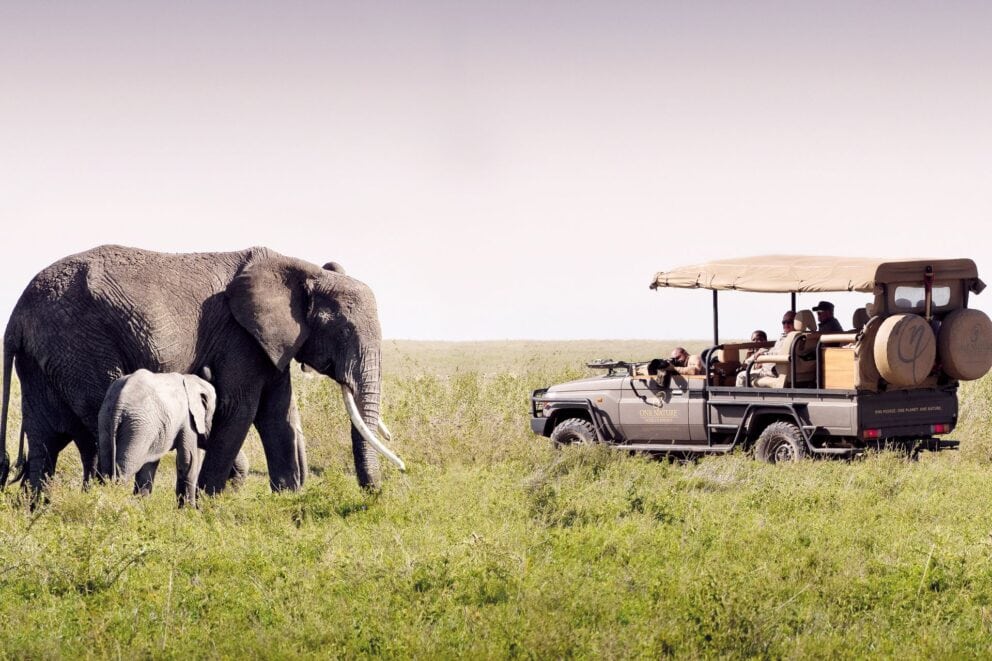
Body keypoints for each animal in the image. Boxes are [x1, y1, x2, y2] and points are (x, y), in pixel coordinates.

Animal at [98, 369, 216, 506]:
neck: (192, 380)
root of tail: (119, 403)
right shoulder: (188, 420)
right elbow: (187, 461)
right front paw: (189, 510)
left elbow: (149, 465)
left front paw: (142, 506)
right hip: (138, 427)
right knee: (124, 469)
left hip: (107, 419)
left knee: (107, 468)